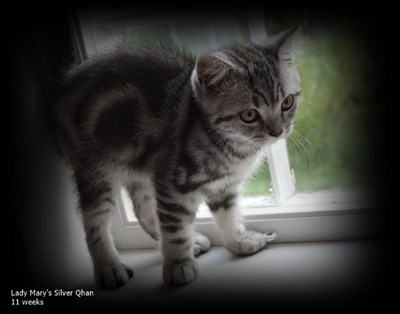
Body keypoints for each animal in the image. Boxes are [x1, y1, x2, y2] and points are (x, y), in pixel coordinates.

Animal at [53, 28, 302, 288]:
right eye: (250, 115)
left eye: (287, 102)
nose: (278, 131)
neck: (231, 147)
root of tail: (64, 84)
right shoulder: (174, 183)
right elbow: (174, 227)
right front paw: (177, 266)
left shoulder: (224, 184)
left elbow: (228, 213)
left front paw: (239, 241)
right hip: (94, 171)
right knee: (94, 222)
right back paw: (108, 267)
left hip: (140, 168)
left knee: (143, 209)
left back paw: (190, 242)